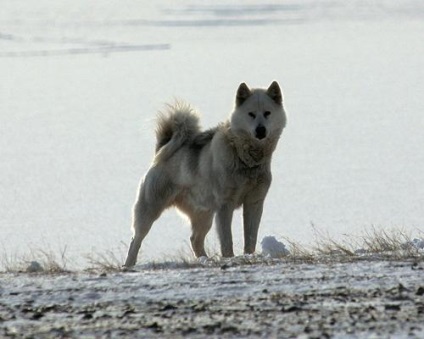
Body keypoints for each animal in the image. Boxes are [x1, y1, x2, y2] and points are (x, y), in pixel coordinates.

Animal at [123, 82, 288, 268]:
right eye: (251, 114)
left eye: (267, 113)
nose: (261, 130)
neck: (246, 159)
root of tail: (162, 149)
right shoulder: (225, 205)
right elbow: (227, 240)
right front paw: (230, 258)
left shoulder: (254, 202)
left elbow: (251, 238)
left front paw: (249, 256)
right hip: (150, 210)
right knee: (135, 240)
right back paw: (128, 265)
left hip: (204, 215)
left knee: (195, 239)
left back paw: (205, 260)